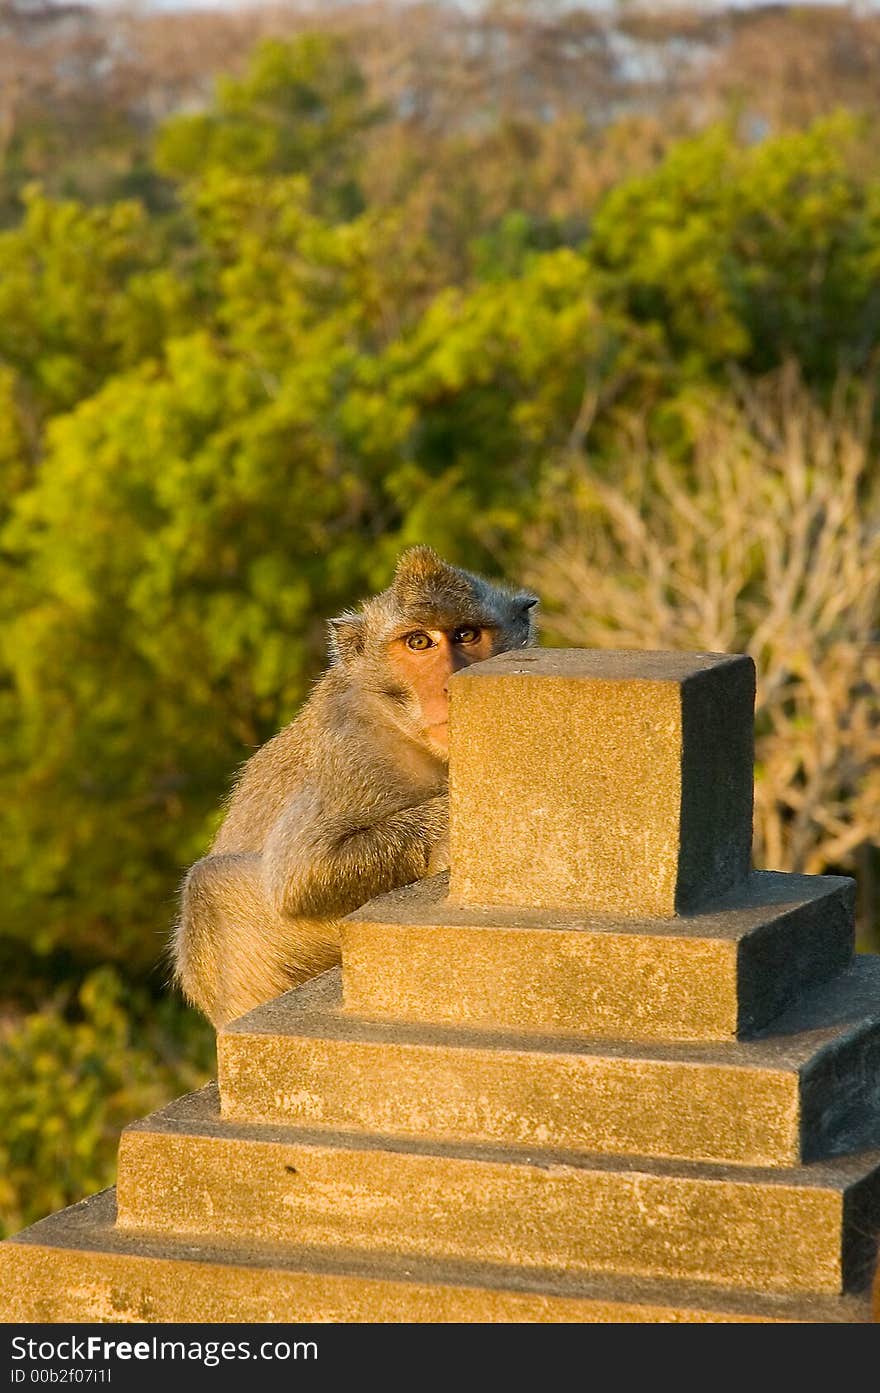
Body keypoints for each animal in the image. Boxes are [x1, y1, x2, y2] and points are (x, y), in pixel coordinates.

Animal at [172, 543, 540, 1025]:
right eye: (419, 642)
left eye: (465, 634)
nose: (447, 685)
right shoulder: (353, 749)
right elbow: (302, 874)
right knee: (207, 888)